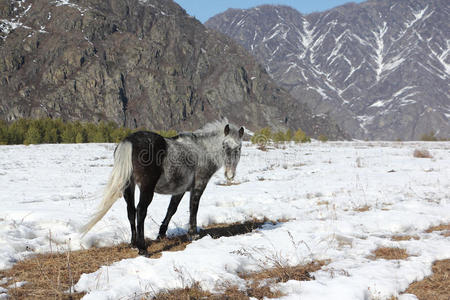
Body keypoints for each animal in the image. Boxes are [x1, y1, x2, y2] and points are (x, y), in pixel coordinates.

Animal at [81, 120, 243, 254]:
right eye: (224, 145)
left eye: (239, 147)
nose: (230, 175)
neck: (201, 150)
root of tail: (129, 141)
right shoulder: (198, 186)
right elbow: (193, 208)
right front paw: (193, 234)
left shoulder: (180, 190)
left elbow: (171, 209)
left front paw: (161, 234)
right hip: (146, 188)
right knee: (141, 211)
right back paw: (142, 248)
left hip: (129, 186)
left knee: (131, 211)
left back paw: (133, 243)